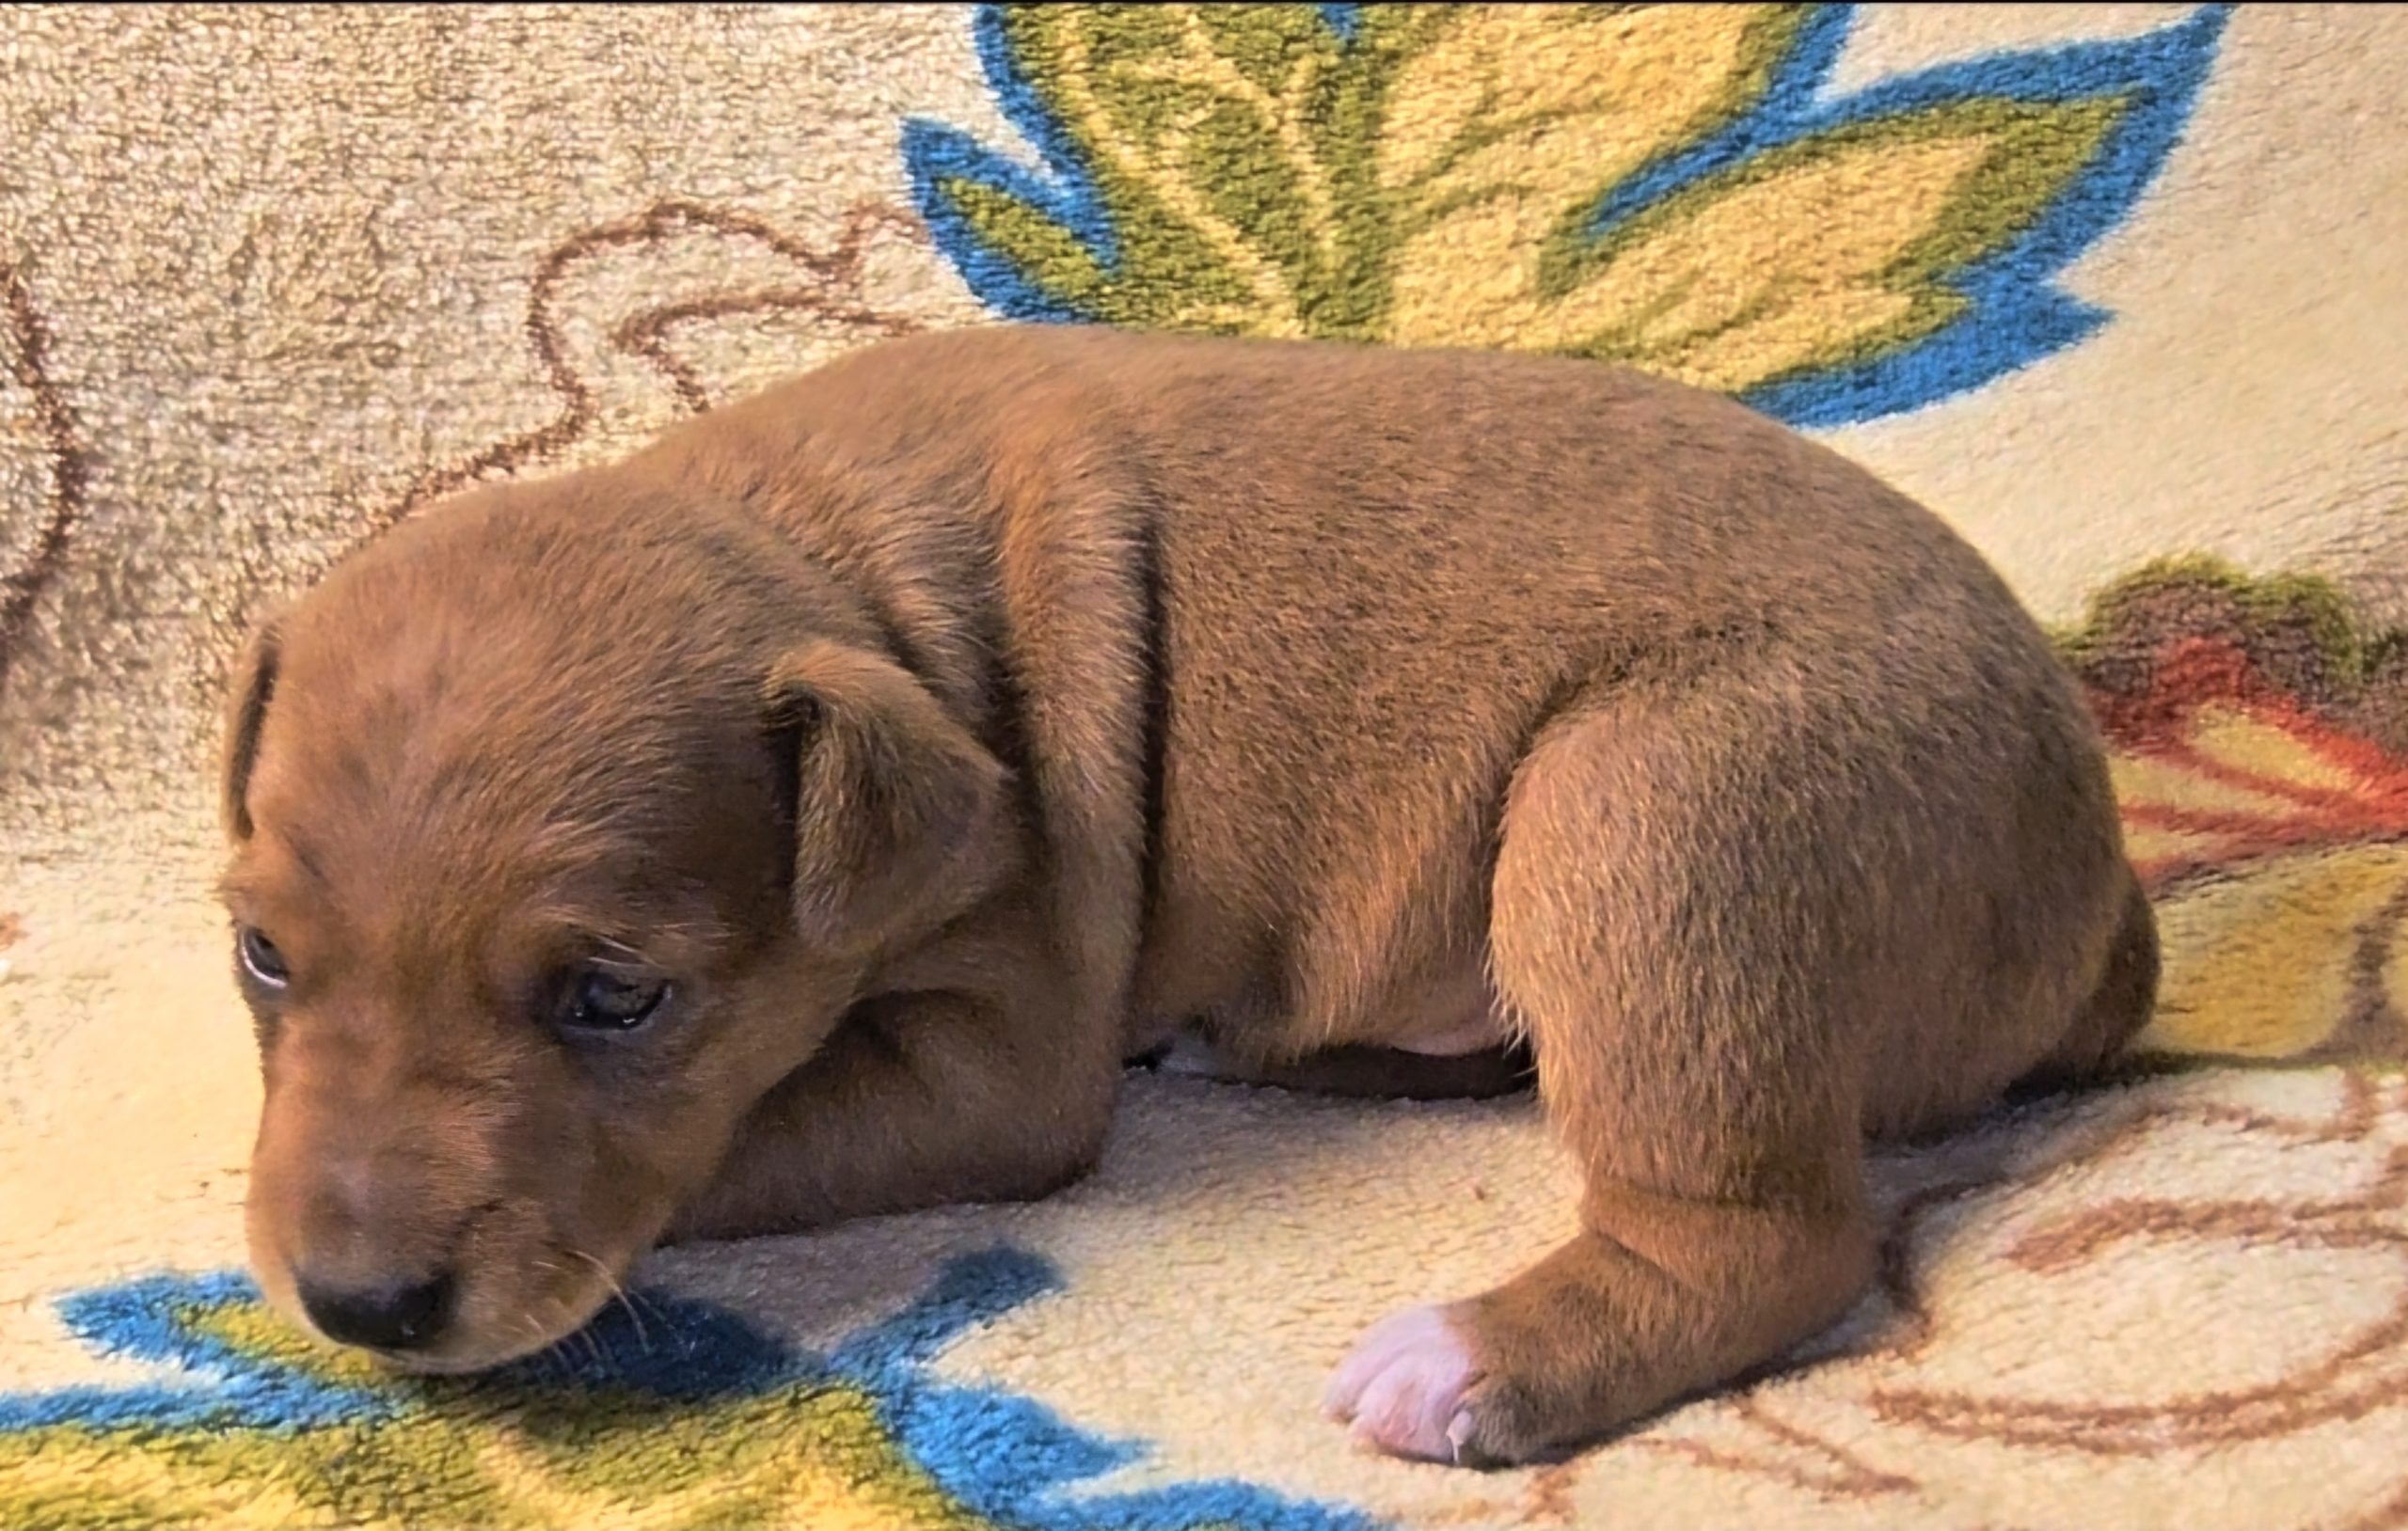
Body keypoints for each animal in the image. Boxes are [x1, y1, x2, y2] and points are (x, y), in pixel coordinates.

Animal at [217, 324, 2155, 1465]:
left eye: (615, 996)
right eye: (260, 954)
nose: (356, 1306)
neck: (828, 567)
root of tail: (2100, 890)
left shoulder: (997, 1068)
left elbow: (727, 1151)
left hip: (1660, 815)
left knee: (1763, 1228)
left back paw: (1474, 1361)